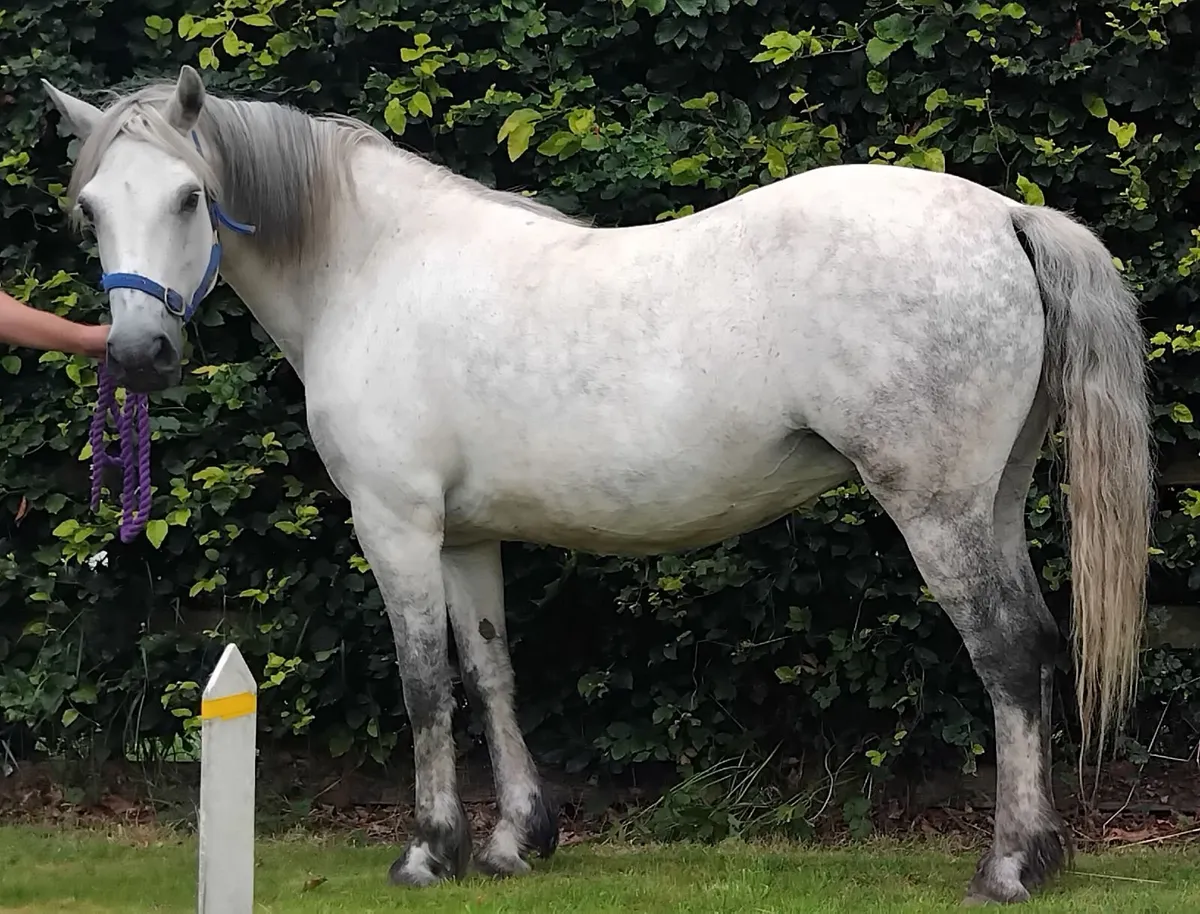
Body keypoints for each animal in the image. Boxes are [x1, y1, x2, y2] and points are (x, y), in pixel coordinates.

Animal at [42, 65, 1151, 905]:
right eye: (90, 208)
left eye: (189, 197)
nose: (136, 356)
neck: (373, 270)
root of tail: (1004, 214)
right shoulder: (463, 535)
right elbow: (491, 671)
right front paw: (514, 841)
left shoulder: (396, 525)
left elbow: (424, 682)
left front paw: (428, 851)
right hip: (991, 500)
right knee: (1035, 643)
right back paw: (1039, 851)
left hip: (936, 511)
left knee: (1005, 653)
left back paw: (1008, 866)